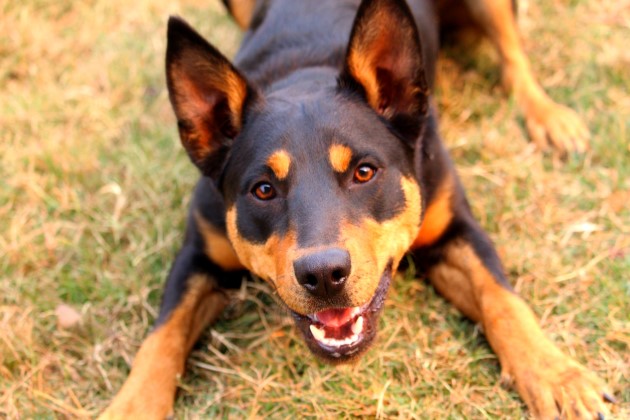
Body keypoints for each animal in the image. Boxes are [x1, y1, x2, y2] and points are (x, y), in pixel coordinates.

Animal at [101, 0, 616, 418]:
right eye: (263, 190)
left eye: (364, 172)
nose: (324, 275)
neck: (306, 73)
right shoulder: (199, 253)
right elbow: (159, 340)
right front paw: (130, 406)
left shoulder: (455, 228)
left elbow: (504, 300)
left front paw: (555, 376)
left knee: (514, 59)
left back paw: (549, 117)